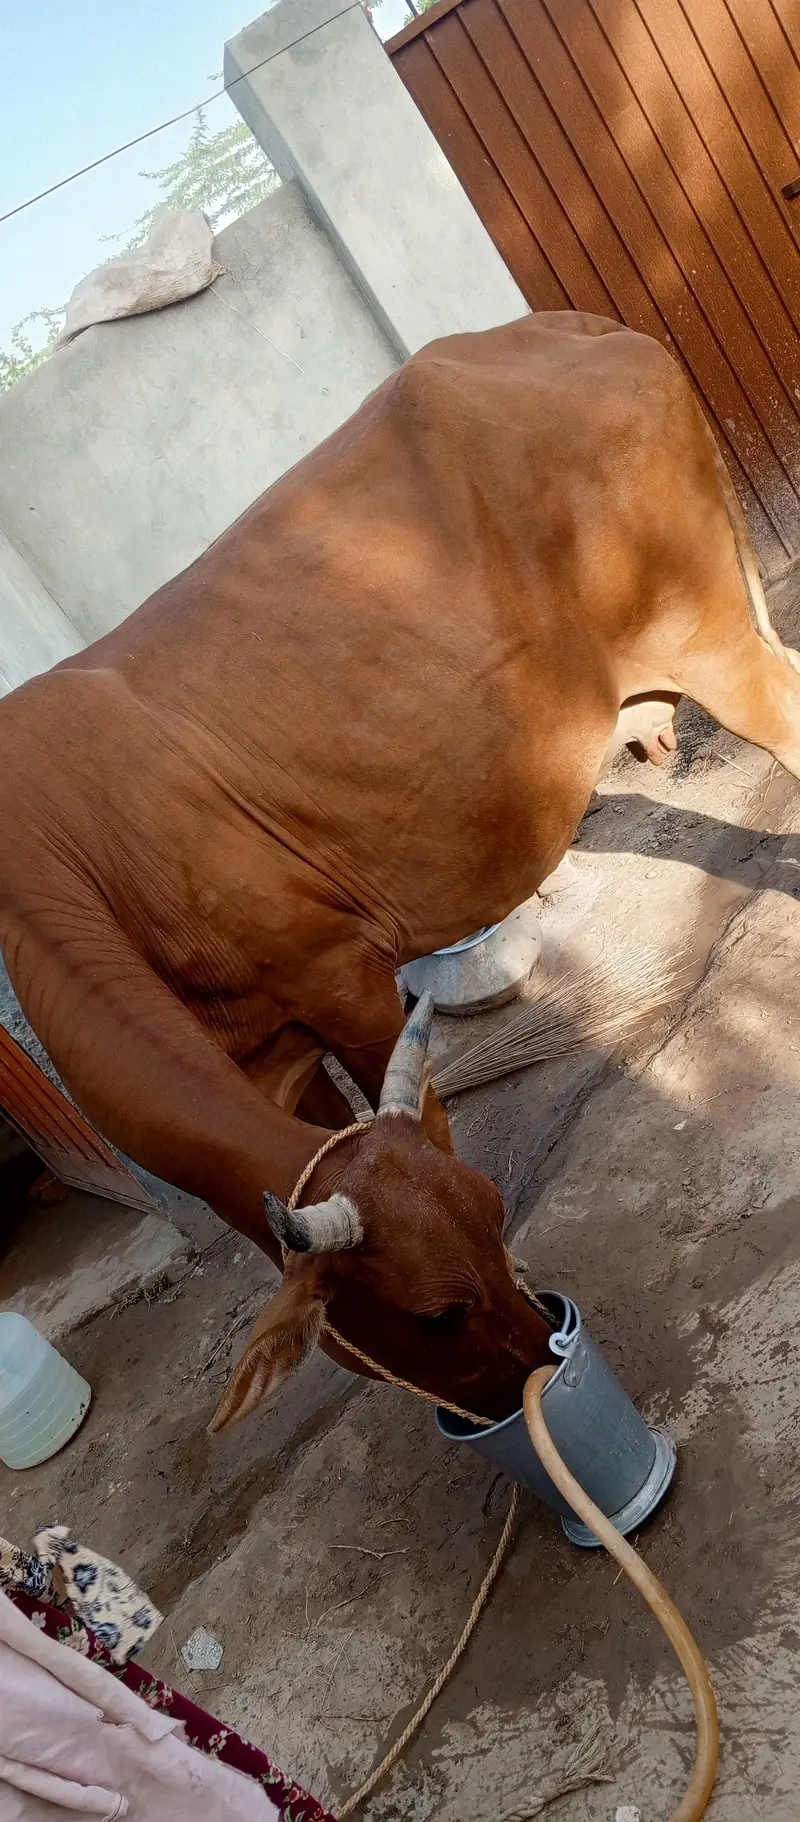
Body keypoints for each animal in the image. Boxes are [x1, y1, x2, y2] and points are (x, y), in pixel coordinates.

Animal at [2, 312, 799, 1429]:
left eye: (496, 1213)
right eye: (434, 1314)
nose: (542, 1368)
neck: (77, 867)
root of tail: (573, 324)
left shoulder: (338, 974)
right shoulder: (271, 1063)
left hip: (710, 635)